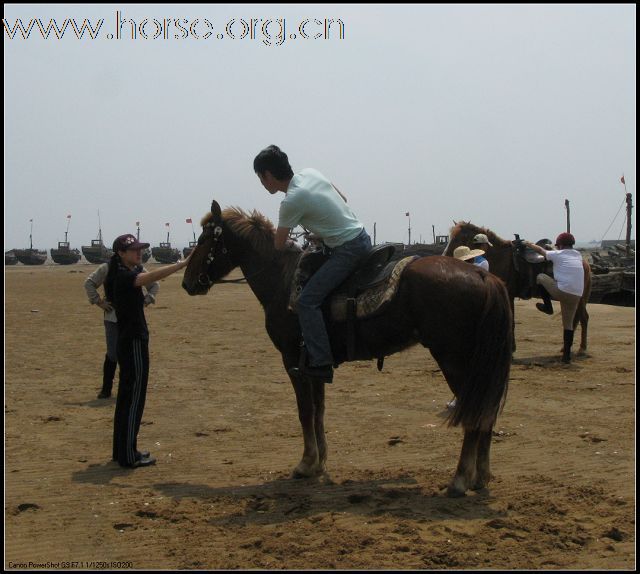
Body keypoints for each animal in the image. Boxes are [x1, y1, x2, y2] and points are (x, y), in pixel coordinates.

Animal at [182, 204, 512, 500]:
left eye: (206, 240)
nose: (187, 282)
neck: (284, 281)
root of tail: (483, 276)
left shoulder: (292, 361)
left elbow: (304, 411)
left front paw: (304, 465)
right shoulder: (315, 363)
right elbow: (318, 410)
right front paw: (318, 463)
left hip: (455, 360)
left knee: (472, 414)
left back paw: (459, 481)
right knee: (485, 412)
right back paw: (481, 476)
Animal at [444, 224, 592, 356]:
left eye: (458, 238)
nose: (445, 255)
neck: (500, 259)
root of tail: (584, 262)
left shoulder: (508, 295)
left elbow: (511, 321)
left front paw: (511, 349)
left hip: (579, 298)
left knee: (583, 318)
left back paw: (582, 349)